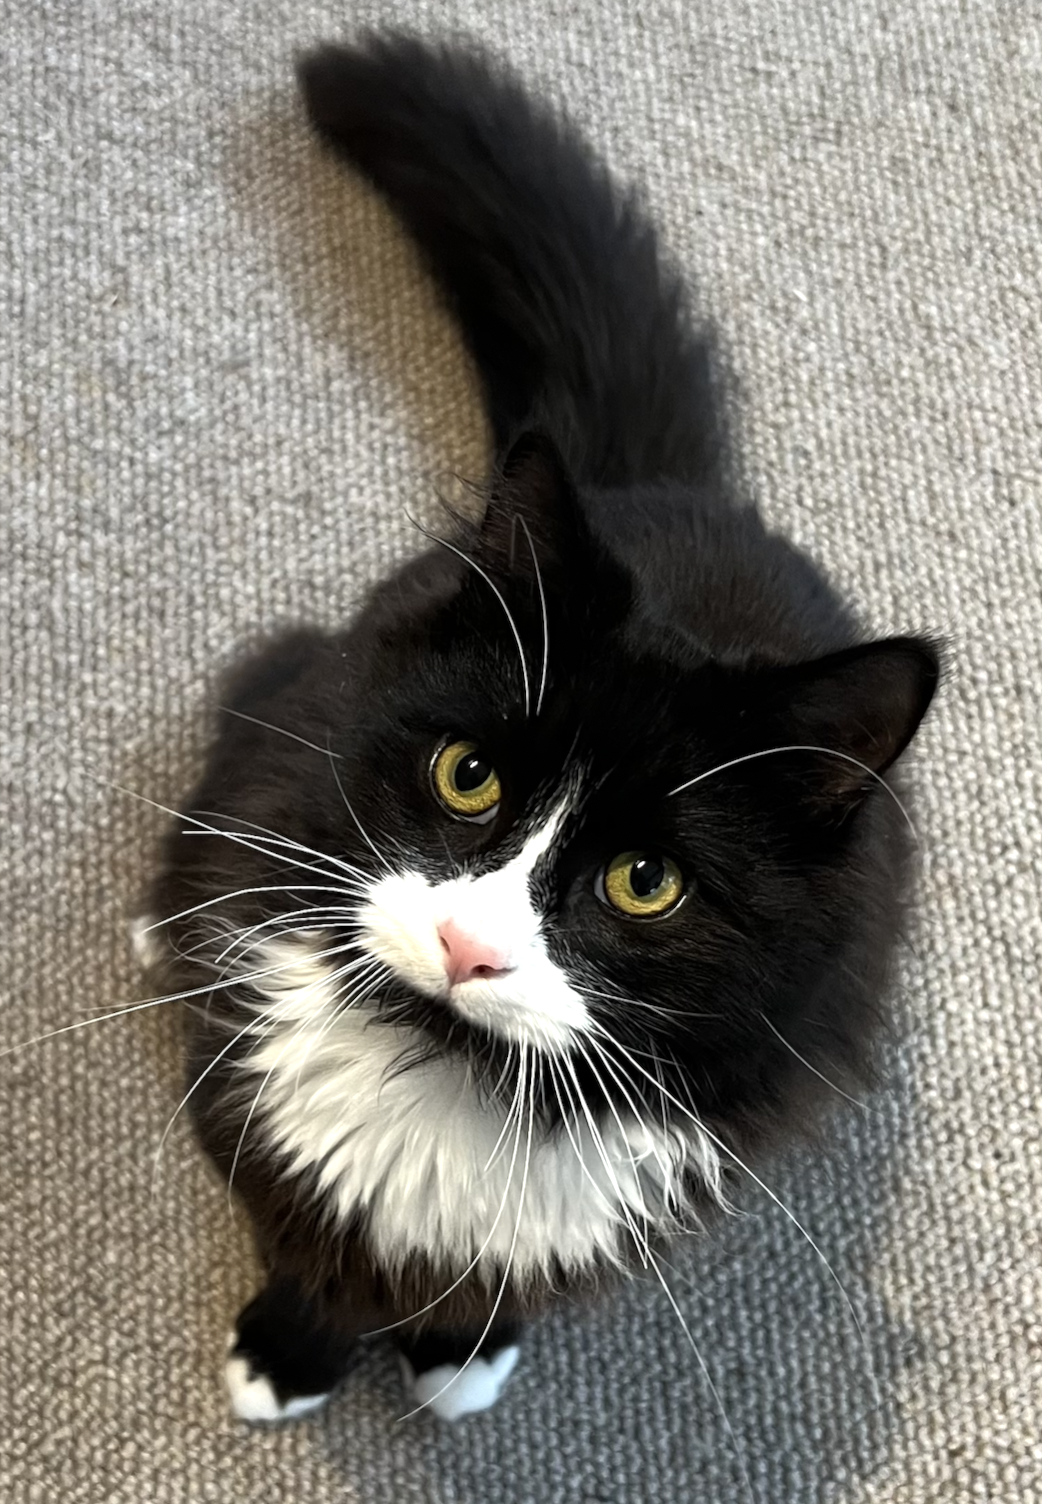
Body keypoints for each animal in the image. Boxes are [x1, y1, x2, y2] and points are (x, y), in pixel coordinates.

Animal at [133, 32, 938, 1419]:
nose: (469, 944)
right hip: (280, 691)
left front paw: (460, 1352)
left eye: (645, 880)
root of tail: (655, 486)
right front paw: (286, 1352)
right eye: (467, 775)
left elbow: (491, 1279)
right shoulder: (258, 1103)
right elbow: (300, 1242)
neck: (450, 1066)